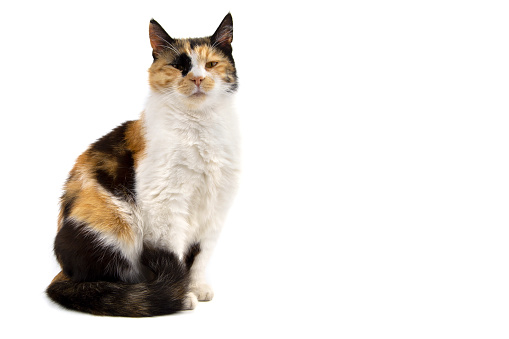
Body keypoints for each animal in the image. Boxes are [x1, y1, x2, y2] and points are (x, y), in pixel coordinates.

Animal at [44, 11, 239, 318]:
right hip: (113, 226)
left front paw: (197, 287)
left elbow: (201, 256)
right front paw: (182, 295)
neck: (199, 126)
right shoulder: (165, 204)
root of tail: (65, 271)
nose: (197, 78)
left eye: (211, 64)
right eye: (178, 66)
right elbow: (174, 253)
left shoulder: (215, 206)